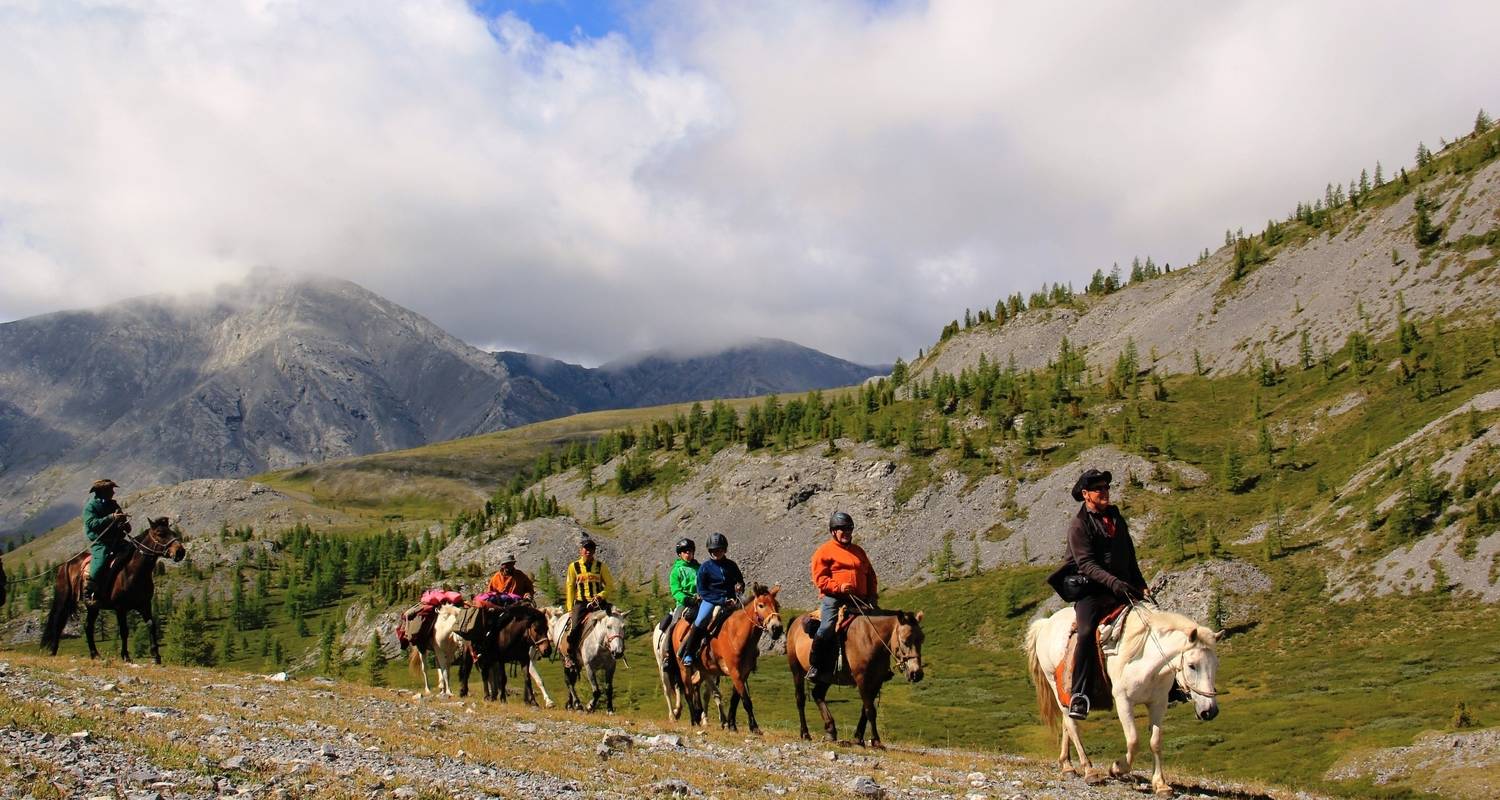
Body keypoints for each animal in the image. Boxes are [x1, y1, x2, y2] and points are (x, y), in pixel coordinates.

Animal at [41, 516, 186, 660]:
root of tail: (67, 563)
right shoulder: (120, 607)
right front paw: (125, 656)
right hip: (64, 599)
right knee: (58, 622)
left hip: (93, 606)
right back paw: (53, 651)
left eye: (173, 533)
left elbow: (151, 625)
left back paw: (95, 654)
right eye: (160, 534)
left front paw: (156, 655)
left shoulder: (145, 605)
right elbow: (124, 631)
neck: (133, 571)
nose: (180, 552)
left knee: (88, 626)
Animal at [666, 579, 786, 729]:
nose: (777, 628)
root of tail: (678, 624)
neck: (737, 634)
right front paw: (754, 728)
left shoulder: (743, 673)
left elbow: (736, 700)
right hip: (684, 668)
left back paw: (699, 716)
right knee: (687, 691)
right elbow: (746, 701)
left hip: (704, 670)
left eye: (777, 605)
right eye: (761, 605)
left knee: (695, 685)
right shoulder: (734, 671)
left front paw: (732, 725)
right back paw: (694, 721)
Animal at [786, 606, 924, 747]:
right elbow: (870, 710)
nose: (916, 673)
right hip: (797, 671)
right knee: (800, 699)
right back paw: (805, 733)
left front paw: (858, 738)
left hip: (827, 677)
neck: (871, 639)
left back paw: (830, 731)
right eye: (905, 640)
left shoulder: (876, 681)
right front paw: (876, 741)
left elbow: (865, 710)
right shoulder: (862, 679)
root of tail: (795, 621)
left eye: (922, 639)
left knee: (817, 694)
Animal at [1026, 606, 1224, 792]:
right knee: (1072, 725)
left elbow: (1155, 742)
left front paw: (1161, 785)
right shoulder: (1124, 701)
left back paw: (1067, 766)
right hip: (1055, 684)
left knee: (1067, 724)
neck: (1145, 661)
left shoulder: (1158, 703)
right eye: (1192, 665)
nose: (1210, 711)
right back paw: (1090, 771)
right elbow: (1134, 741)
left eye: (1216, 665)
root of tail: (1046, 623)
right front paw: (1117, 768)